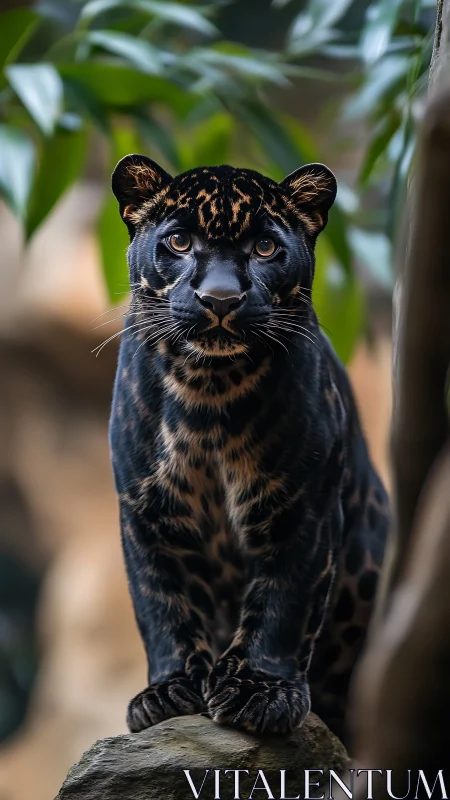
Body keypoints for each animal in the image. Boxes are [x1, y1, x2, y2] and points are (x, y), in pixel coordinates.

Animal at [108, 154, 389, 742]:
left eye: (264, 248)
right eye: (179, 242)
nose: (219, 299)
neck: (208, 391)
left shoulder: (303, 509)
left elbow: (283, 604)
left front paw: (260, 692)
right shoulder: (146, 511)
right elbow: (162, 603)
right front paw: (168, 692)